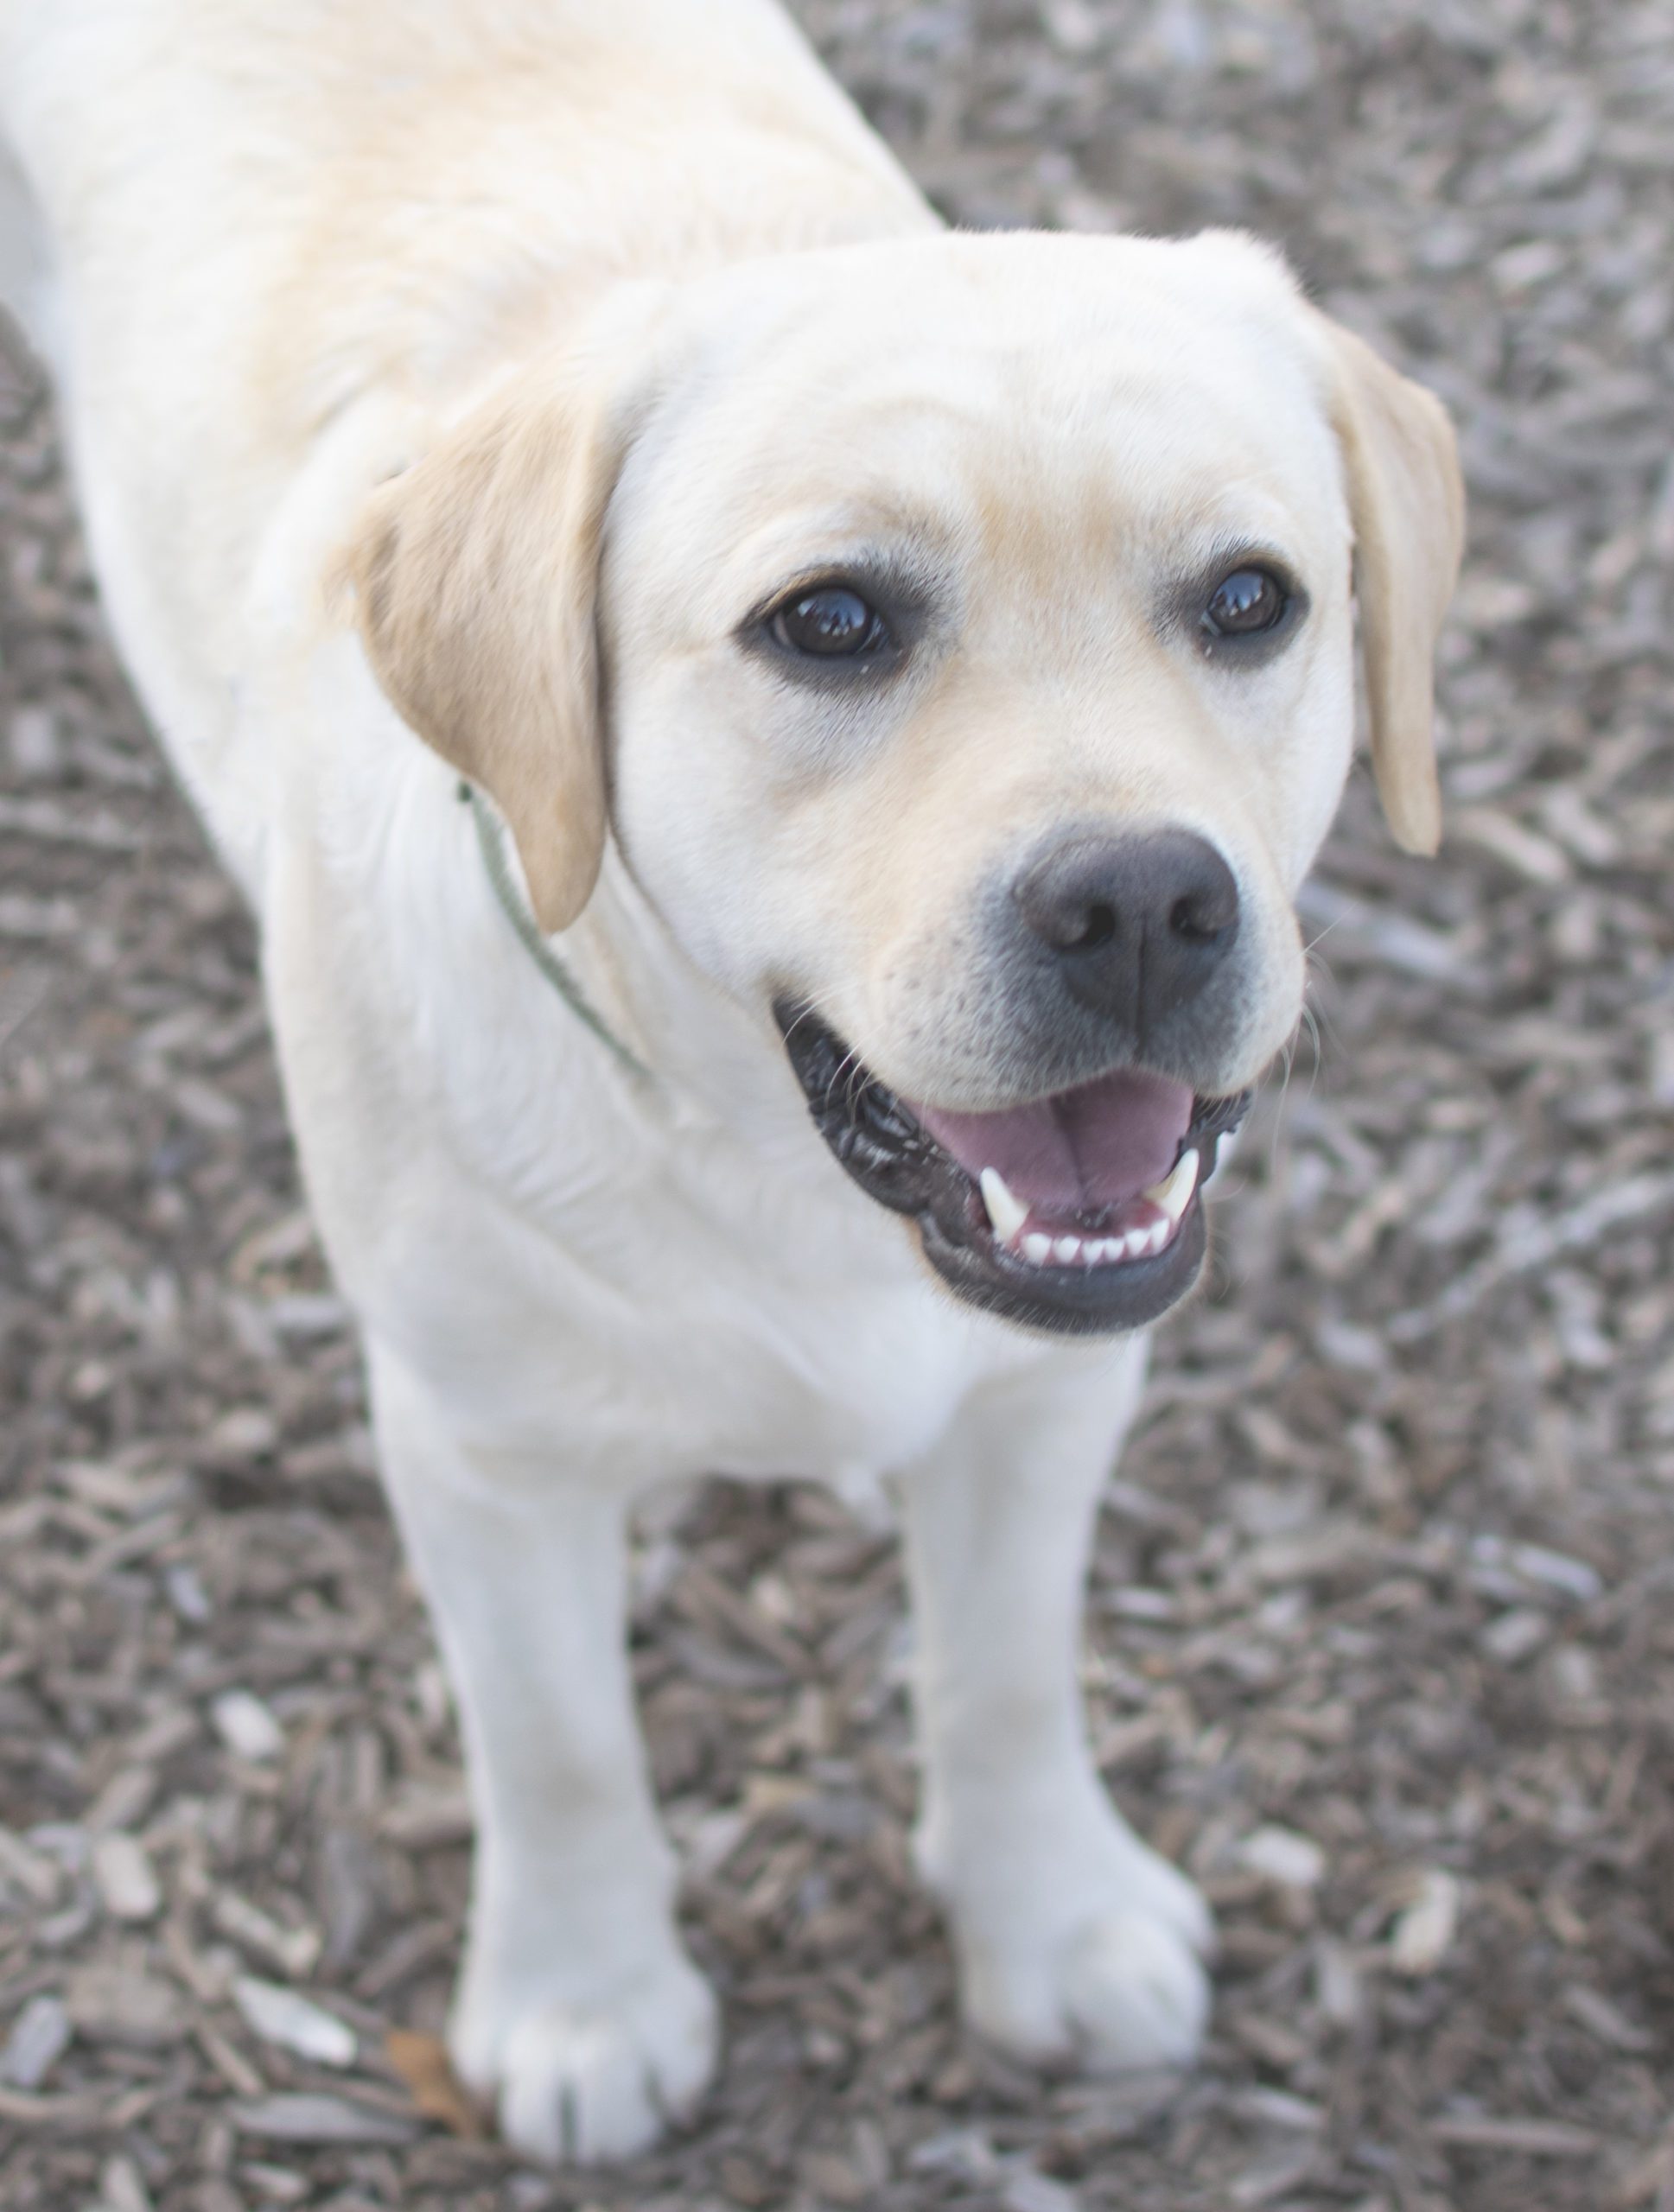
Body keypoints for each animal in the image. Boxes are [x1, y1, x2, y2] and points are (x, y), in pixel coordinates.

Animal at [0, 0, 1459, 2167]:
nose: (1138, 902)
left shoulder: (1042, 1391)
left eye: (1247, 598)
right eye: (828, 621)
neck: (769, 1160)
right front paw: (584, 1999)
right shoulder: (481, 1448)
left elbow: (1003, 1678)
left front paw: (1047, 1915)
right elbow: (559, 1746)